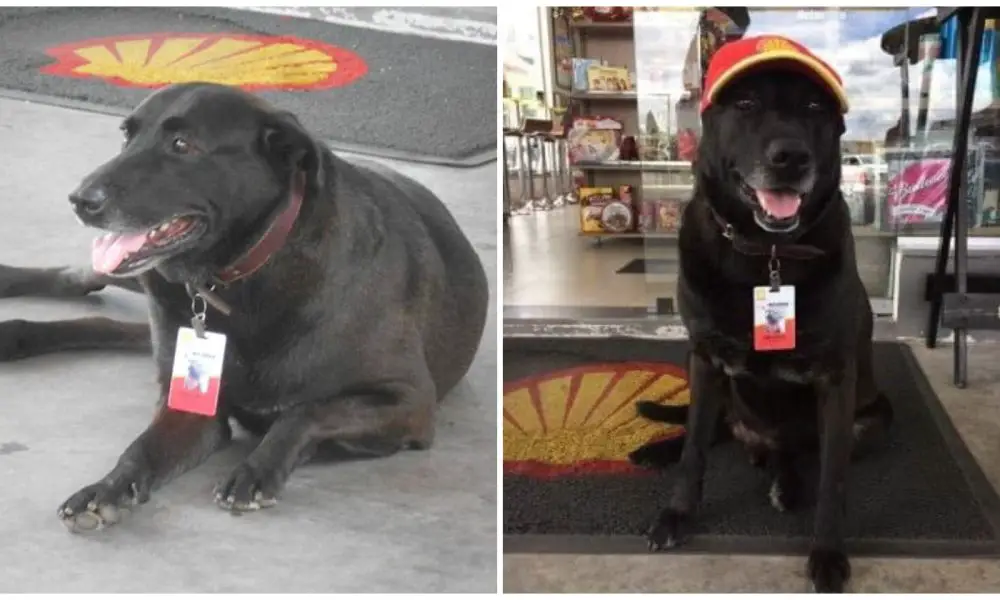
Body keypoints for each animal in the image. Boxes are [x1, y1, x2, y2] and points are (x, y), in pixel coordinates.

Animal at [0, 82, 488, 532]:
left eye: (182, 144)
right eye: (127, 136)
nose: (81, 199)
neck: (237, 279)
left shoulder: (410, 402)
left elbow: (305, 411)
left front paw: (256, 470)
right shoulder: (190, 409)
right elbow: (140, 448)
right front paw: (106, 487)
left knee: (107, 317)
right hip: (145, 279)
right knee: (89, 280)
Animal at [628, 38, 896, 596]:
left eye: (815, 108)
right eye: (746, 104)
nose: (790, 157)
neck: (766, 253)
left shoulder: (835, 380)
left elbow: (833, 479)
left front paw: (827, 552)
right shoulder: (704, 360)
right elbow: (694, 452)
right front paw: (678, 514)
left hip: (871, 420)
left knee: (794, 452)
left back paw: (785, 483)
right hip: (716, 388)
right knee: (713, 431)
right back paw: (662, 451)